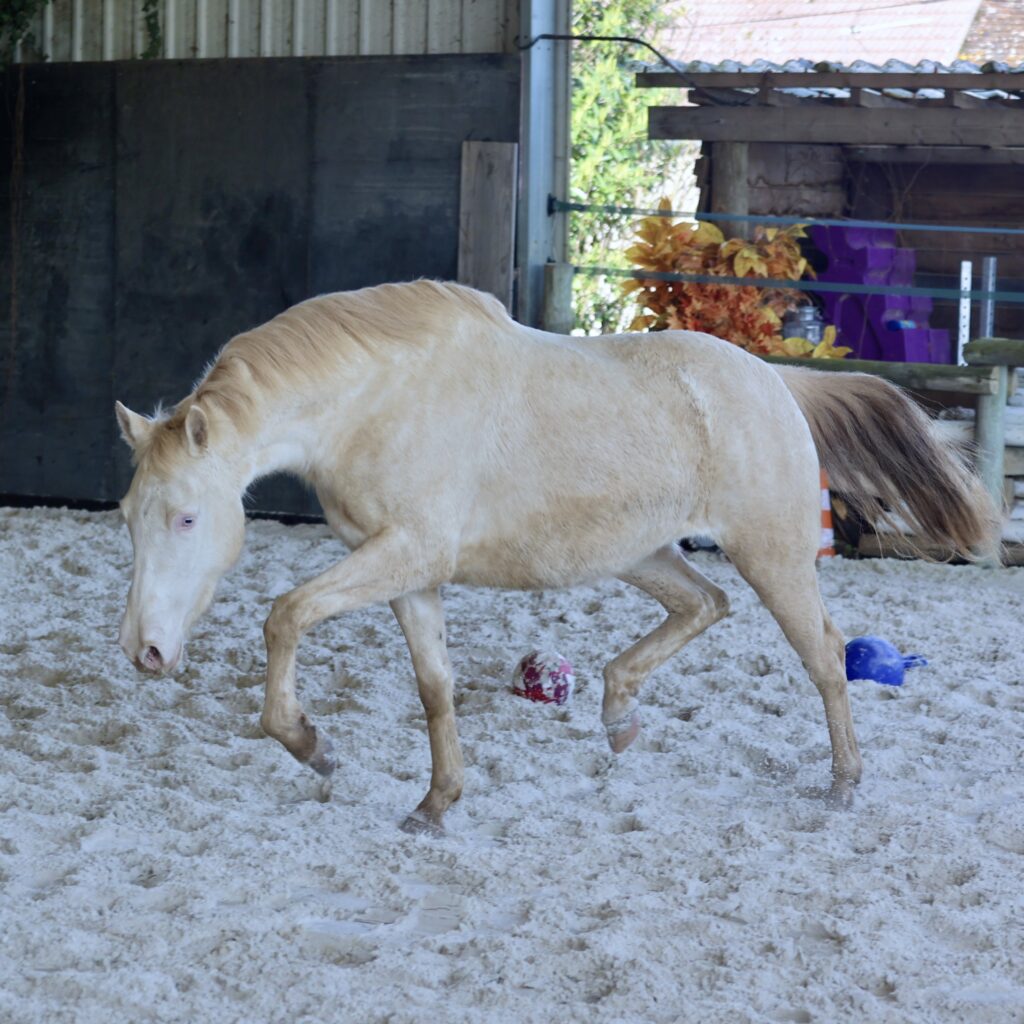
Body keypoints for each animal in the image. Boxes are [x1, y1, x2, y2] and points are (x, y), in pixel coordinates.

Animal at [116, 280, 995, 831]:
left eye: (187, 518)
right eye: (128, 516)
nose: (144, 651)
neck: (380, 401)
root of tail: (778, 383)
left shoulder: (404, 554)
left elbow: (285, 614)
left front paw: (311, 745)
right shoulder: (404, 571)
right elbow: (435, 689)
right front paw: (436, 804)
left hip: (772, 554)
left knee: (823, 653)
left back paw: (843, 784)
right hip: (640, 553)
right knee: (703, 605)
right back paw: (619, 714)